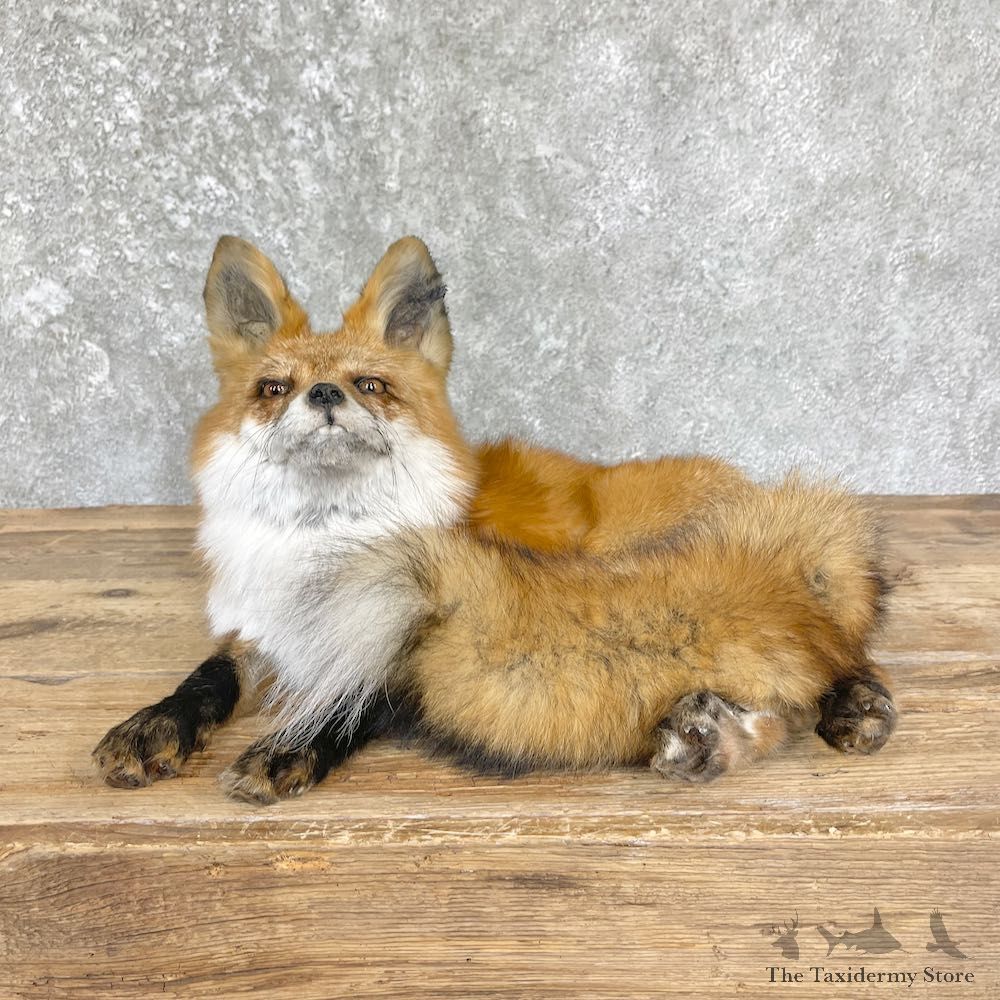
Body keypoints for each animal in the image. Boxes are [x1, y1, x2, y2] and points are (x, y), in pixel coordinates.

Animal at [93, 235, 897, 804]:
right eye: (273, 388)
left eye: (370, 385)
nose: (323, 394)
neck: (325, 546)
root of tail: (756, 490)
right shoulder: (268, 626)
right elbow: (205, 680)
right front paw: (152, 725)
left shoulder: (397, 627)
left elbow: (353, 703)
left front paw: (290, 749)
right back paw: (710, 737)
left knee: (830, 653)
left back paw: (852, 704)